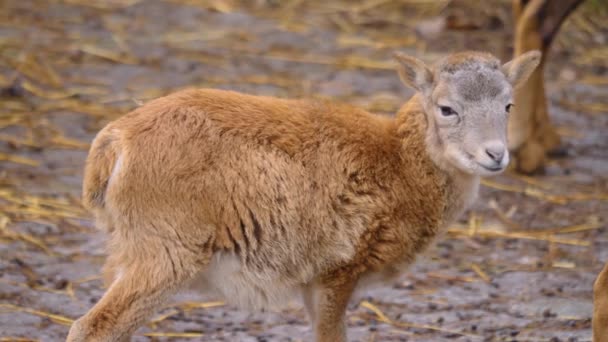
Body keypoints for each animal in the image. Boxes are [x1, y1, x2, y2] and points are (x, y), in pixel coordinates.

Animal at [69, 49, 540, 340]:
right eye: (446, 108)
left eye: (508, 105)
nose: (495, 154)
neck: (397, 162)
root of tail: (117, 140)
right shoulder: (338, 272)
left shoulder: (315, 284)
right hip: (165, 256)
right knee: (93, 328)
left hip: (131, 255)